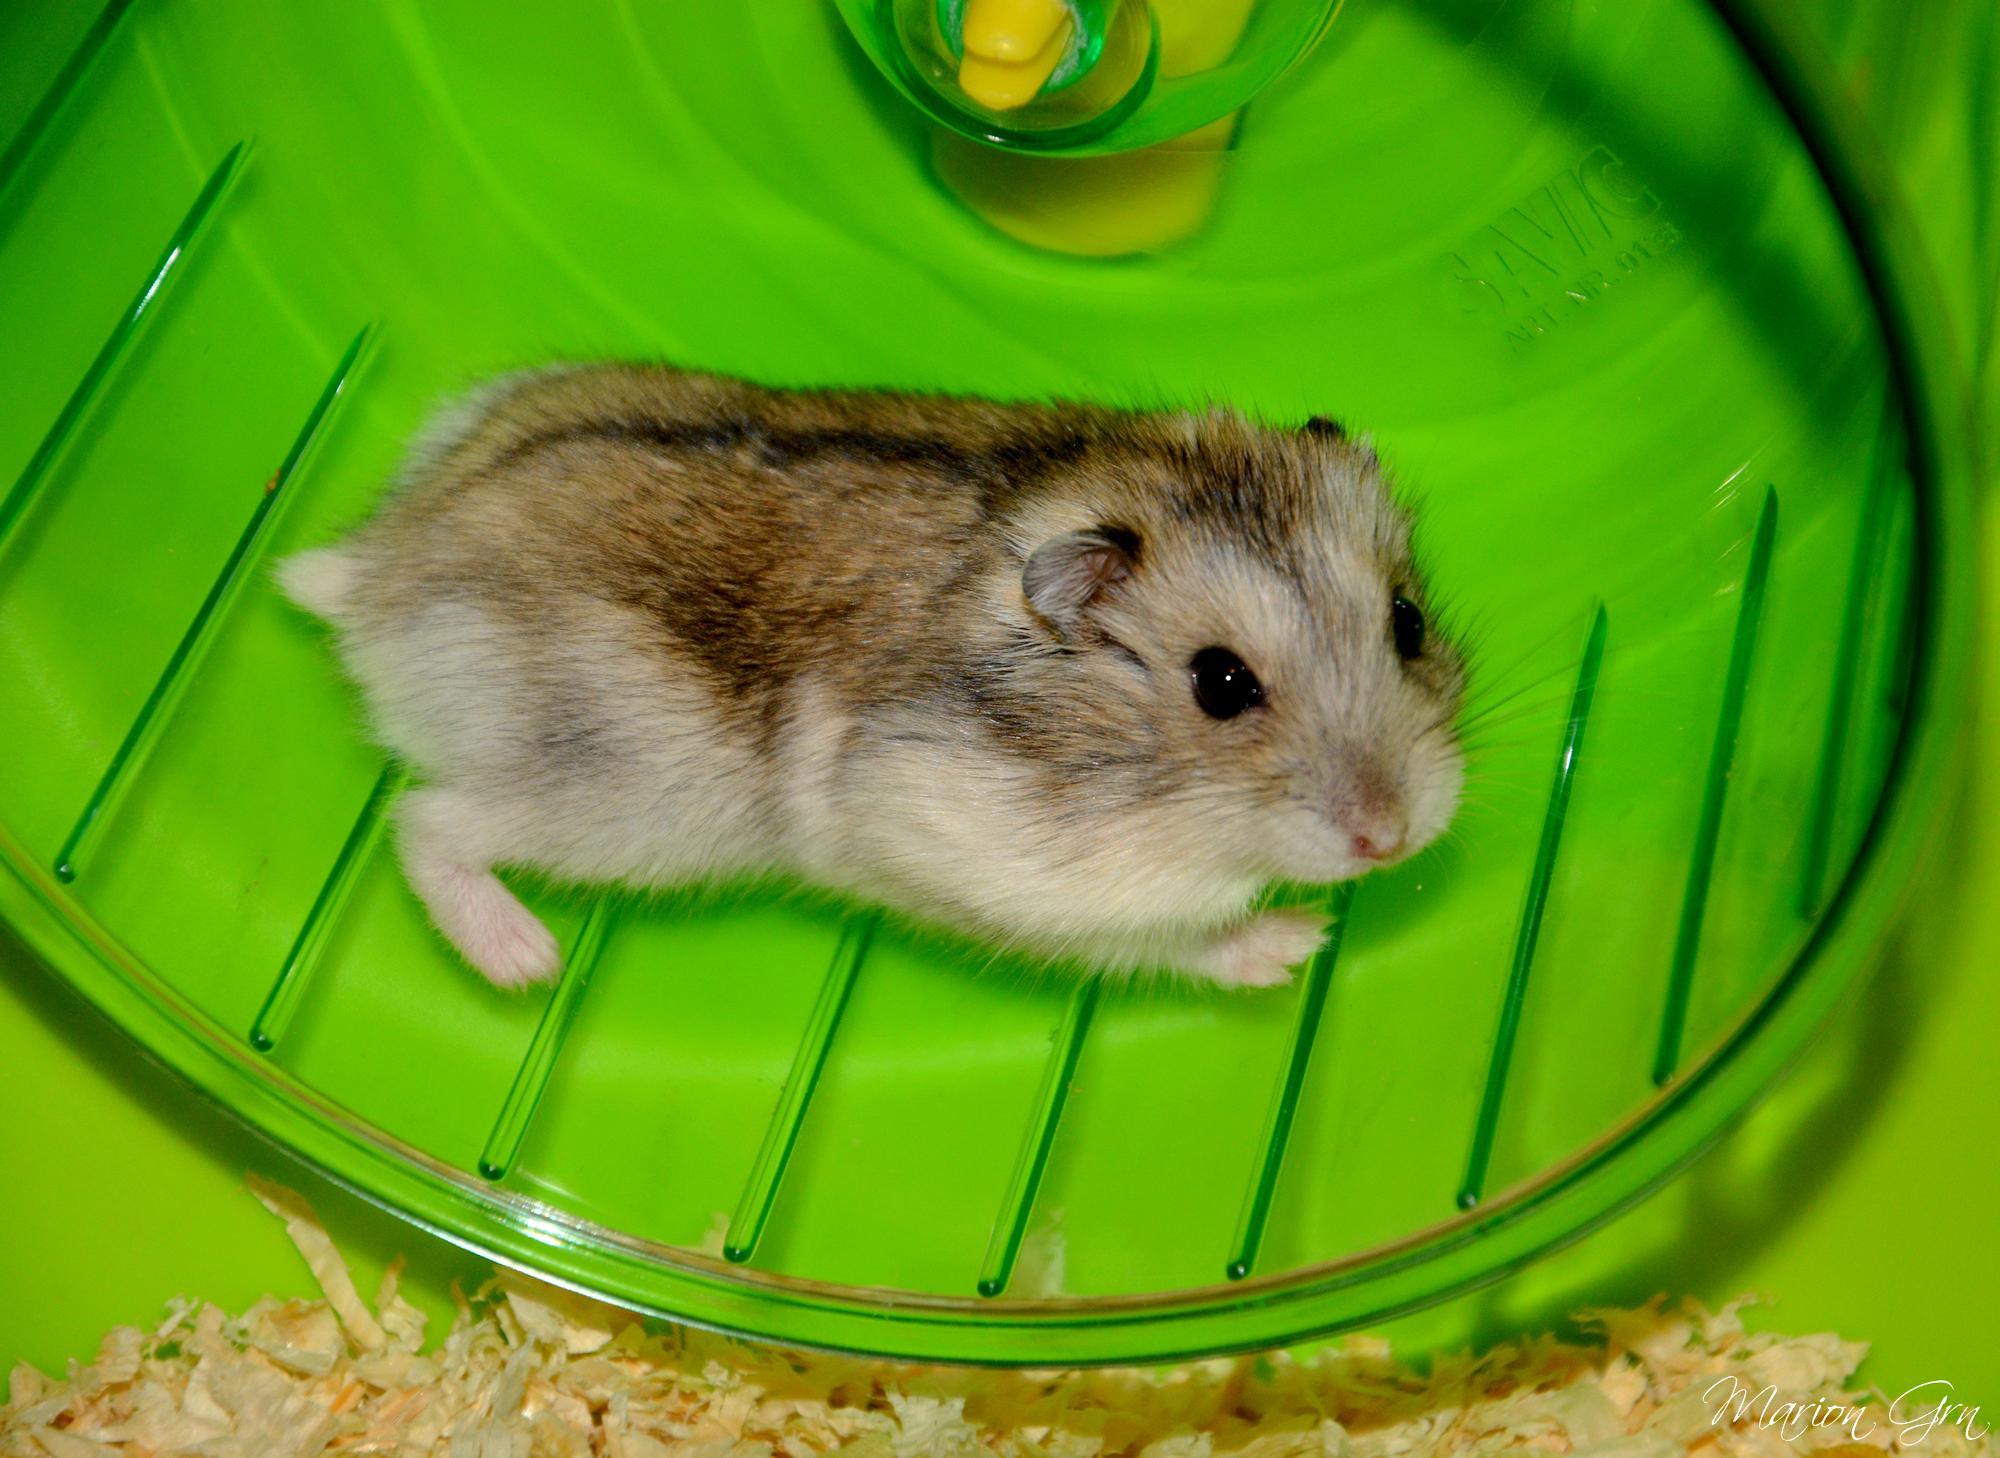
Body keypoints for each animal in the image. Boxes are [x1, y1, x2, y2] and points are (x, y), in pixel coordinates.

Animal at [279, 364, 1466, 990]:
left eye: (1407, 623)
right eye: (1220, 684)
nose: (1391, 838)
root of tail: (382, 570)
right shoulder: (1012, 875)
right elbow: (1185, 936)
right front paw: (1298, 945)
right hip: (619, 798)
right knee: (425, 820)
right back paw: (526, 961)